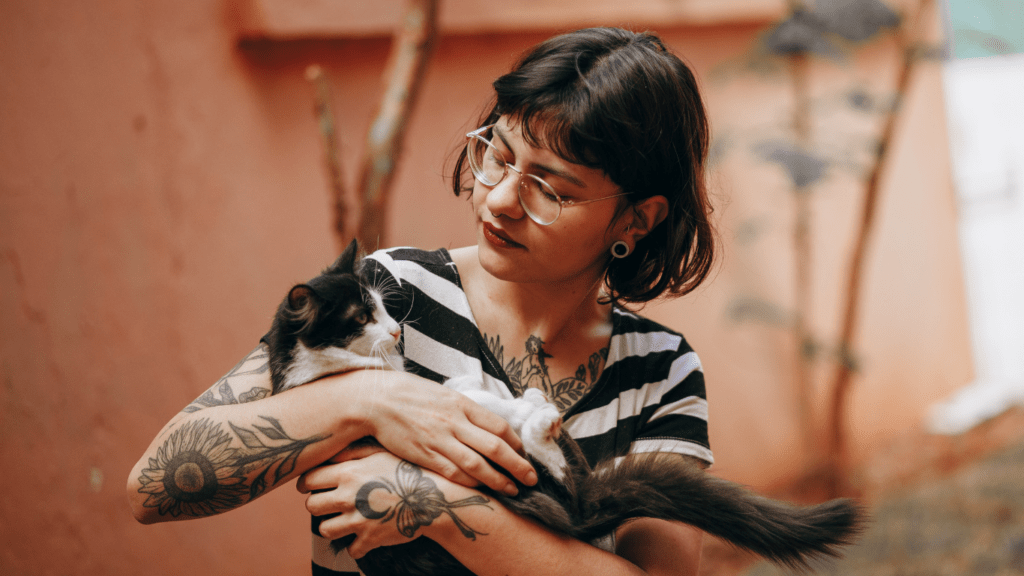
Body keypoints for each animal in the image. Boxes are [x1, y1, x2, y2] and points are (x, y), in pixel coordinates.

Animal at [266, 238, 864, 573]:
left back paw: (531, 401)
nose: (394, 331)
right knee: (551, 471)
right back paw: (543, 417)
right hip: (522, 488)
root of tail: (589, 510)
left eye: (382, 306)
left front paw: (467, 384)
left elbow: (453, 388)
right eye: (360, 317)